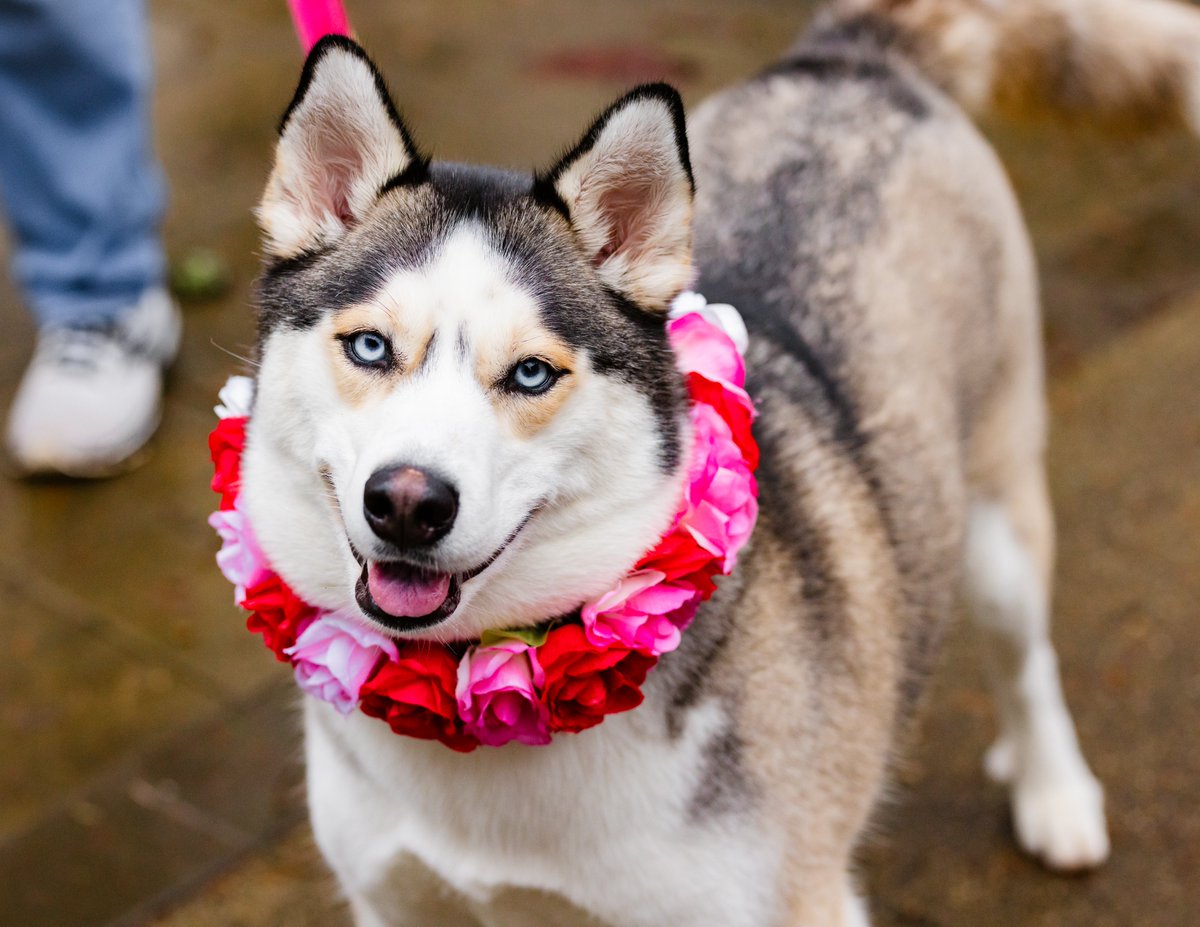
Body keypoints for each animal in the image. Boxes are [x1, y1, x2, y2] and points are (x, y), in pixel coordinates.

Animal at [241, 0, 1200, 922]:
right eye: (370, 346)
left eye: (530, 372)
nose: (407, 502)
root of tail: (848, 55)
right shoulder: (393, 898)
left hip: (1001, 512)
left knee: (1026, 656)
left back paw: (1054, 791)